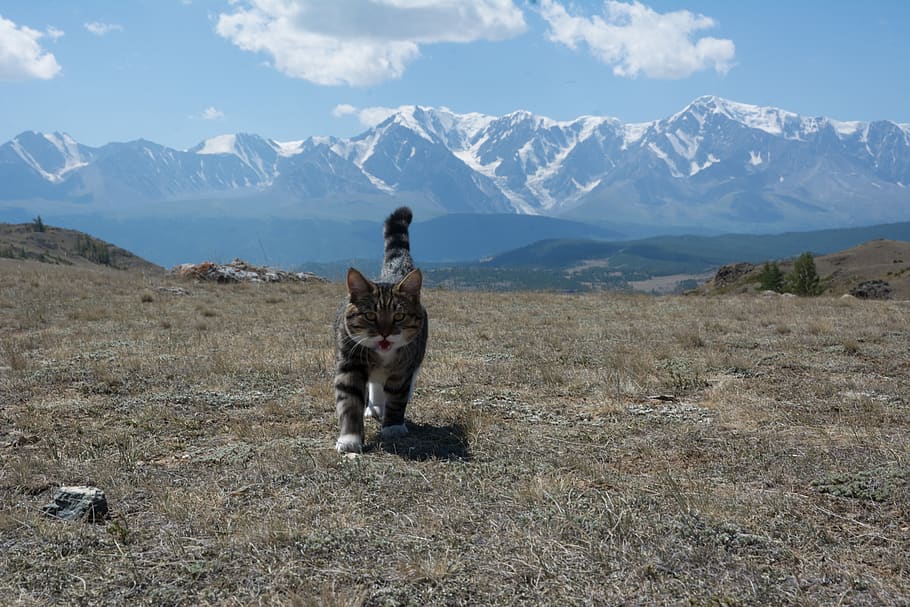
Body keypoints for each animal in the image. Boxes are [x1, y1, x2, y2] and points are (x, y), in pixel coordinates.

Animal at [334, 207, 430, 454]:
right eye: (370, 316)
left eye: (399, 316)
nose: (385, 333)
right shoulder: (350, 361)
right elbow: (349, 401)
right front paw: (350, 439)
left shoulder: (404, 366)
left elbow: (397, 396)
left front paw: (393, 426)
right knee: (375, 385)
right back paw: (375, 406)